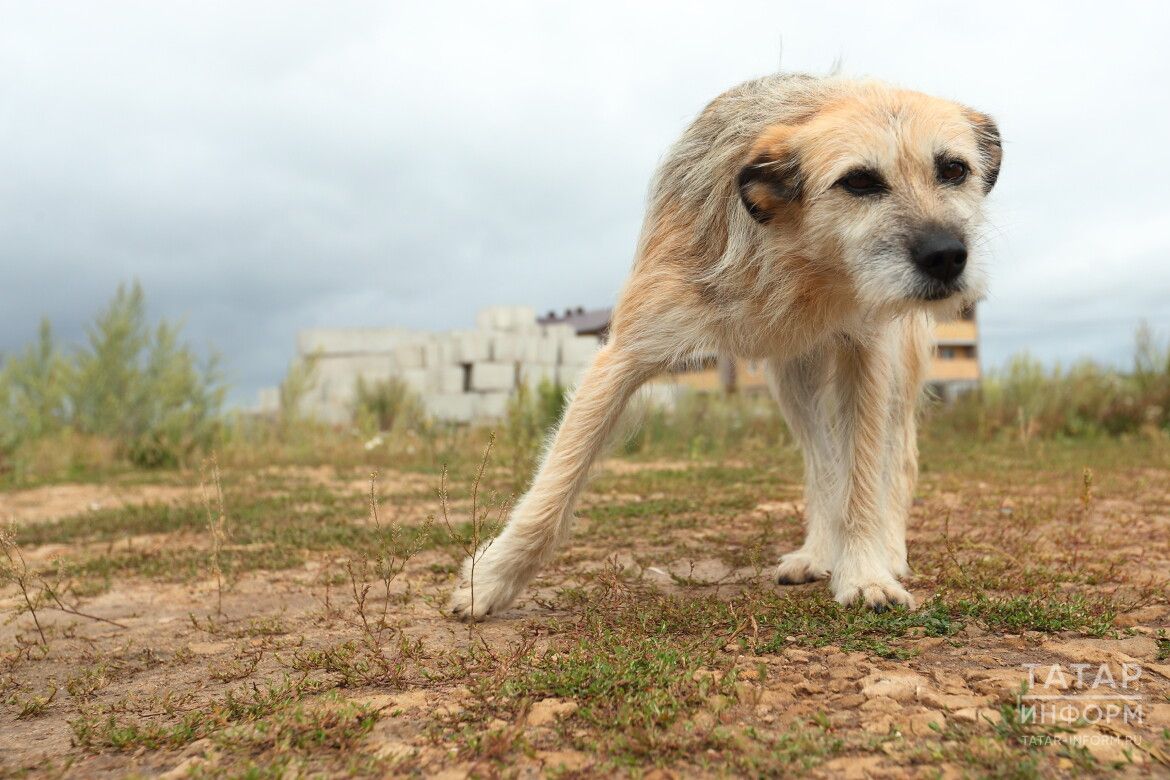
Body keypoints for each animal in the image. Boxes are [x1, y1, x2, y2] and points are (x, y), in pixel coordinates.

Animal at [451, 74, 1001, 622]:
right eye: (860, 182)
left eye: (954, 170)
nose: (947, 256)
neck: (800, 260)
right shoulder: (624, 354)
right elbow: (553, 487)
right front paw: (492, 580)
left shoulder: (866, 355)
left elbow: (864, 479)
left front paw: (865, 573)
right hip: (794, 383)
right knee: (823, 464)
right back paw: (819, 553)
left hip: (892, 372)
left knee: (894, 459)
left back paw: (886, 549)